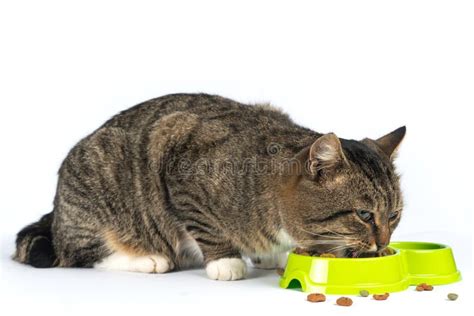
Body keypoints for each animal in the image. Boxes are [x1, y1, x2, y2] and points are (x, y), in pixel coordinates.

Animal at [12, 92, 406, 280]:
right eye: (363, 214)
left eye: (394, 215)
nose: (383, 243)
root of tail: (55, 213)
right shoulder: (177, 158)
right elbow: (206, 227)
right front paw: (227, 261)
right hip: (97, 186)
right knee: (78, 254)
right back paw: (149, 258)